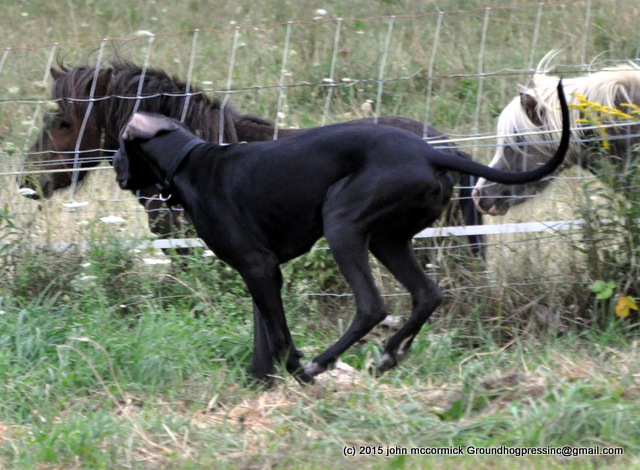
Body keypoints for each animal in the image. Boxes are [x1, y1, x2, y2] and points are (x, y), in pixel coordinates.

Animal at [114, 81, 567, 384]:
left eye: (120, 142)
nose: (116, 168)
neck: (191, 160)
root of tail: (431, 152)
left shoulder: (259, 266)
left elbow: (279, 335)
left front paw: (295, 368)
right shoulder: (260, 270)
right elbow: (264, 331)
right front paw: (260, 382)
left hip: (342, 222)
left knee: (372, 306)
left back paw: (322, 363)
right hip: (388, 238)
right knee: (428, 294)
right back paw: (389, 355)